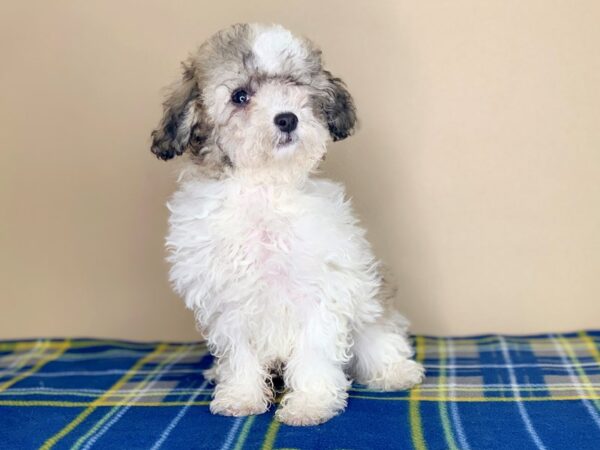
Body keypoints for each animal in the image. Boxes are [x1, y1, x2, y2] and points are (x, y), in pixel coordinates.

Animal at [152, 23, 424, 426]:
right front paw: (241, 396)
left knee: (380, 336)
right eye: (240, 96)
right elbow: (239, 355)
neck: (265, 187)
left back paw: (394, 371)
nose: (287, 118)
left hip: (372, 302)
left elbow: (314, 354)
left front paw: (311, 403)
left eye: (295, 85)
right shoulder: (229, 302)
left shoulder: (321, 293)